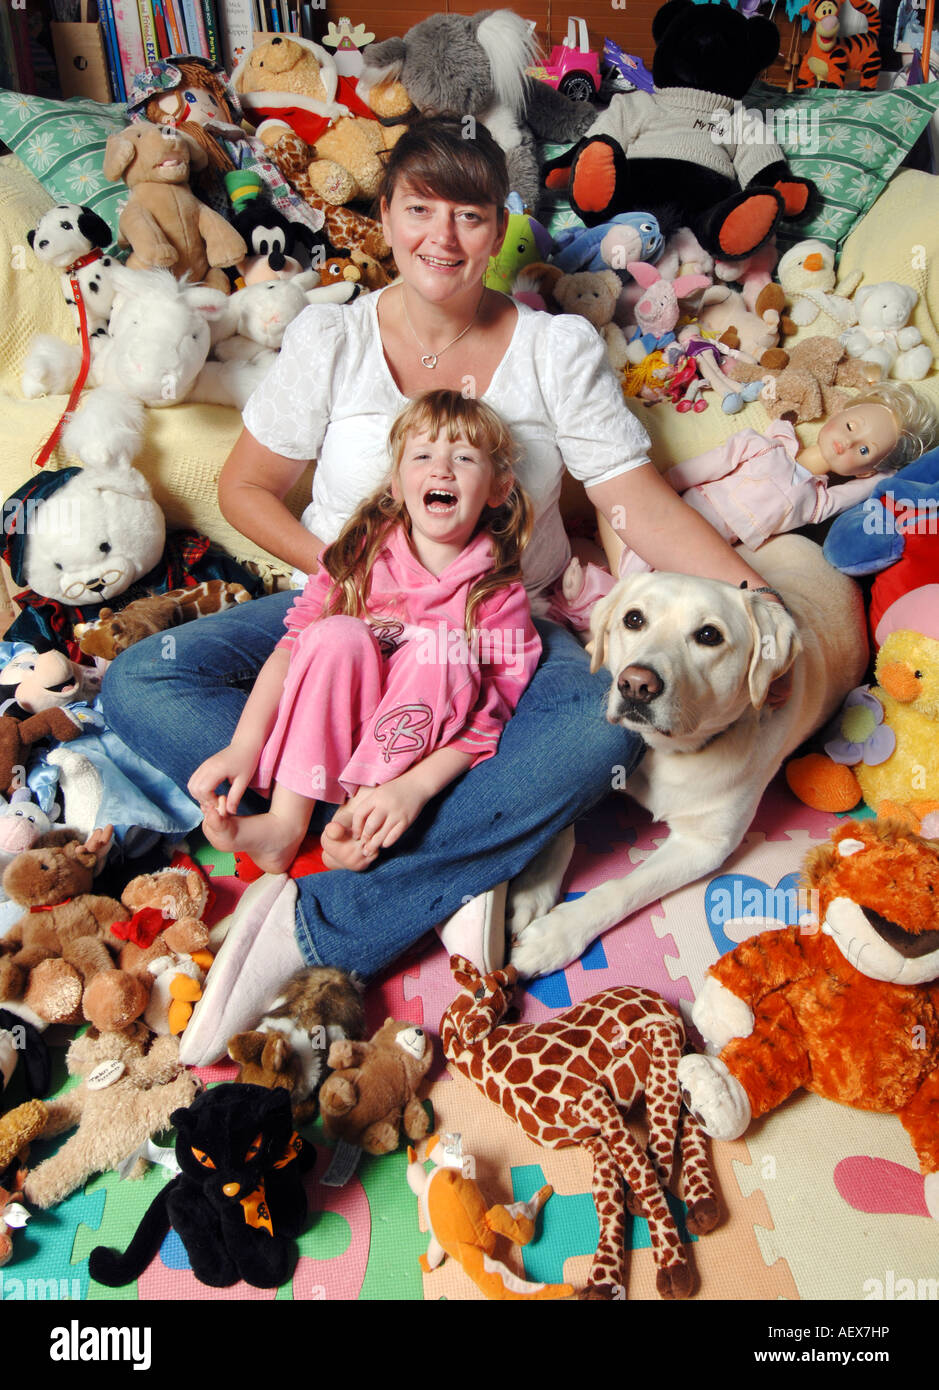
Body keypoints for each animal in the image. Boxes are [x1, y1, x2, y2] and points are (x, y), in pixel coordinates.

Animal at [511, 530, 866, 978]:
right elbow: (563, 825)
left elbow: (625, 887)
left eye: (709, 635)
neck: (667, 750)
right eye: (634, 620)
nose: (635, 684)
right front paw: (532, 886)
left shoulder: (705, 844)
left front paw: (557, 934)